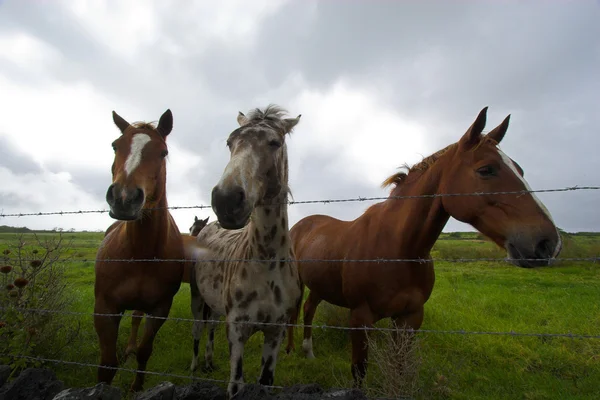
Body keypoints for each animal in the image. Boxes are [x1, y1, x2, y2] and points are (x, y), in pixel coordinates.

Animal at [92, 108, 183, 392]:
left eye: (163, 152)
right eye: (115, 146)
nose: (124, 198)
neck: (141, 251)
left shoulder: (160, 309)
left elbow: (145, 351)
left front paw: (136, 387)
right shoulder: (105, 308)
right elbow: (107, 365)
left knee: (135, 318)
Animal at [286, 107, 564, 388]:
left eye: (519, 169)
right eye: (486, 169)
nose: (548, 243)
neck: (398, 250)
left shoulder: (410, 318)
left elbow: (399, 367)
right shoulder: (360, 318)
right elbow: (359, 371)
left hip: (320, 285)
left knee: (309, 309)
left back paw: (308, 352)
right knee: (294, 312)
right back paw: (289, 350)